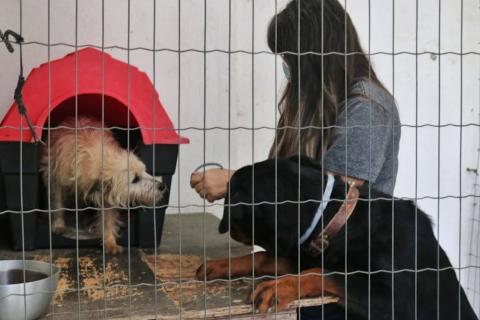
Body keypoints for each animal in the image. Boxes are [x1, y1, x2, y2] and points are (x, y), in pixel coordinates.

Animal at [39, 116, 167, 254]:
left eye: (144, 171)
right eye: (135, 179)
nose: (162, 186)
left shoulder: (106, 196)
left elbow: (108, 219)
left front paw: (110, 242)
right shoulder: (55, 181)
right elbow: (57, 204)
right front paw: (58, 224)